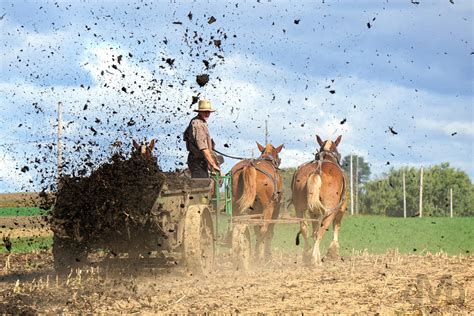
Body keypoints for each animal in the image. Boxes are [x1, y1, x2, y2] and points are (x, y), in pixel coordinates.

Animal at [290, 135, 346, 266]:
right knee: (321, 231)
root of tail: (316, 171)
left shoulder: (313, 212)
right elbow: (336, 227)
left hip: (300, 208)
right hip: (330, 210)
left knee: (305, 229)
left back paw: (307, 254)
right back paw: (315, 259)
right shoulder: (340, 209)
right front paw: (333, 251)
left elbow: (313, 230)